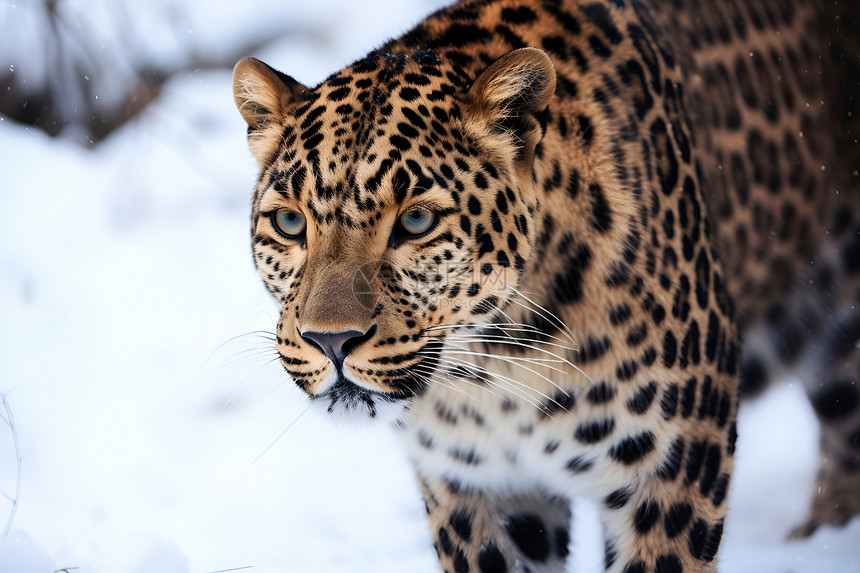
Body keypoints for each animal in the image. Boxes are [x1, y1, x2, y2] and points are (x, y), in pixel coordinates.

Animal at [230, 1, 860, 568]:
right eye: (290, 224)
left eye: (416, 221)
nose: (330, 341)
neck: (496, 369)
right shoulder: (478, 485)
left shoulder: (673, 467)